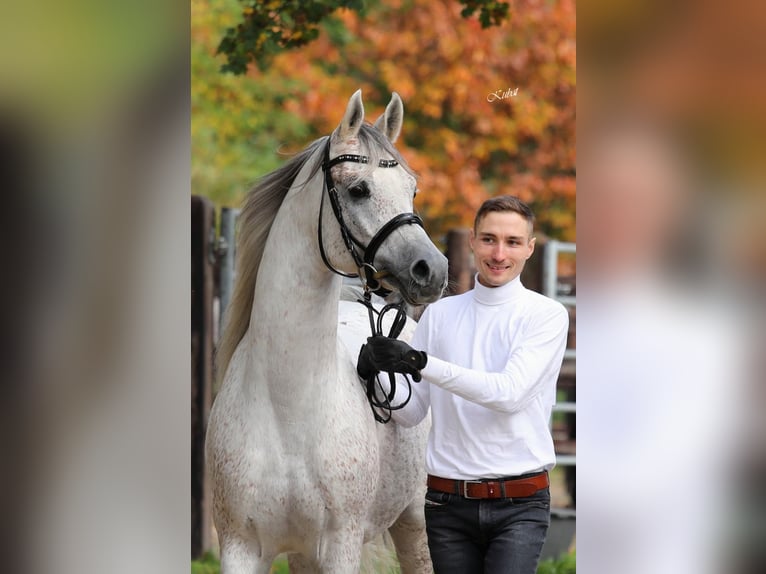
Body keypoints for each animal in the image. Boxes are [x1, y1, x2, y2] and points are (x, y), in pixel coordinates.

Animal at [207, 92, 452, 572]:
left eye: (412, 188)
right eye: (358, 189)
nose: (431, 270)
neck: (287, 407)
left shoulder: (342, 546)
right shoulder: (240, 546)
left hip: (416, 526)